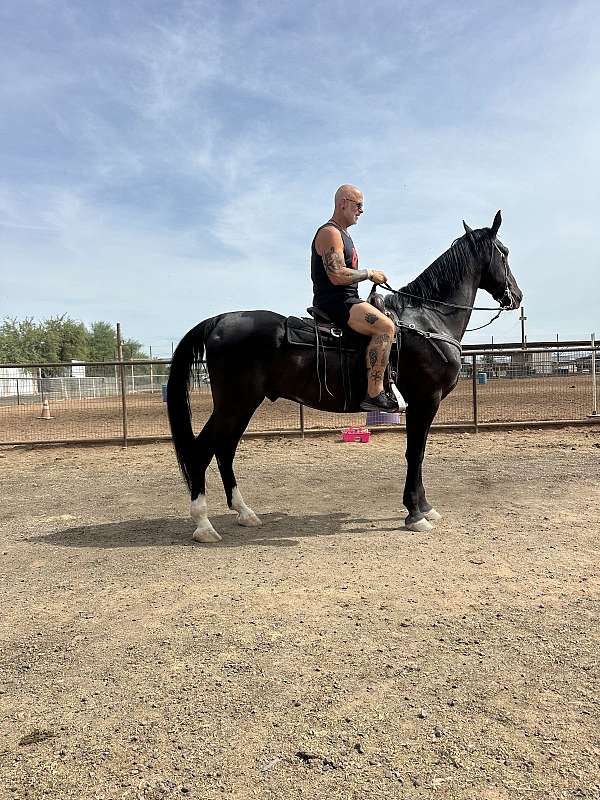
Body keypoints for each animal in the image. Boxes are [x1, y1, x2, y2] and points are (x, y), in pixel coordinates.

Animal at [168, 209, 520, 540]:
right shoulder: (425, 401)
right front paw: (415, 513)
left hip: (243, 406)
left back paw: (244, 512)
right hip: (234, 404)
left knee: (224, 450)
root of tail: (219, 321)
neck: (427, 320)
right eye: (504, 252)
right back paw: (203, 525)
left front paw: (424, 507)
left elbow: (416, 455)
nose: (516, 296)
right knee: (202, 451)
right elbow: (415, 453)